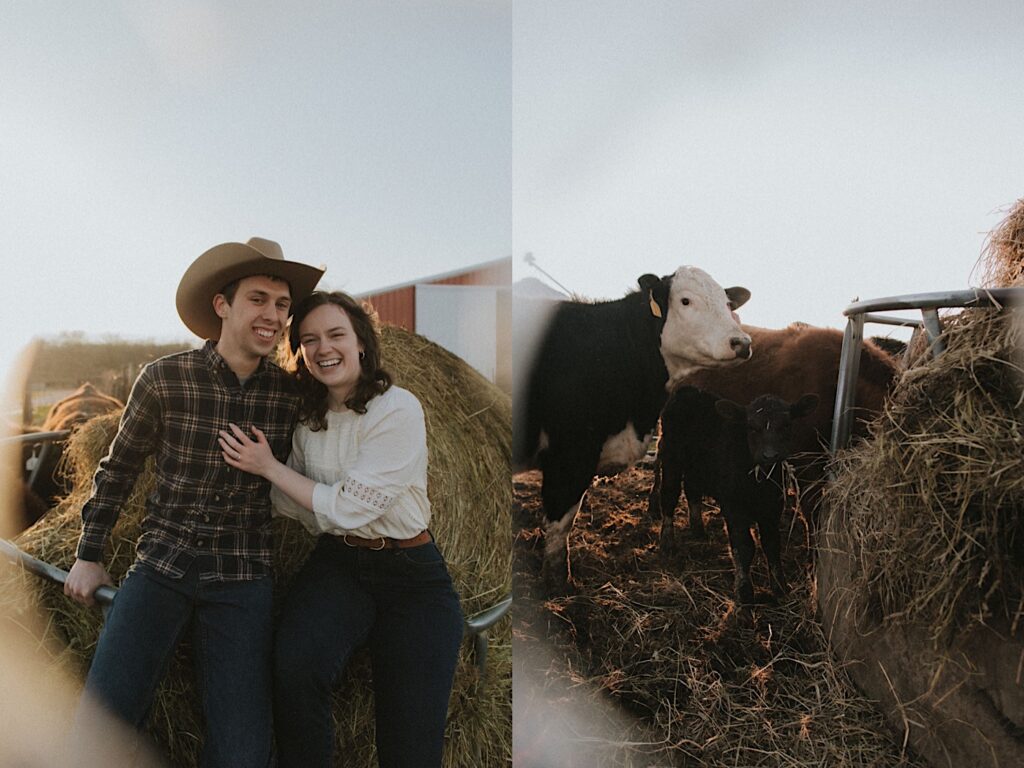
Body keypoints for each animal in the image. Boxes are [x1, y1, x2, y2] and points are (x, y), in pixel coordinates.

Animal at [516, 268, 749, 593]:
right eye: (685, 300)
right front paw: (558, 586)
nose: (742, 342)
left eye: (727, 303)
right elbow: (560, 525)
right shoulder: (570, 454)